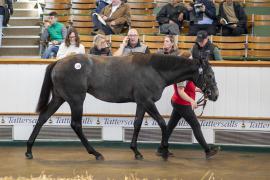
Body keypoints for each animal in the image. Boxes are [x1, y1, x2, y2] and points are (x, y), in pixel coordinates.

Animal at [25, 53, 218, 160]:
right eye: (209, 75)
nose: (215, 95)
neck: (155, 70)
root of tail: (58, 62)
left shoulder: (141, 103)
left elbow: (137, 124)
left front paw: (136, 151)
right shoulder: (147, 101)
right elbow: (163, 124)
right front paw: (164, 149)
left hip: (59, 98)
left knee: (42, 118)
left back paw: (29, 150)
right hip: (76, 100)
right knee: (76, 125)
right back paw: (96, 153)